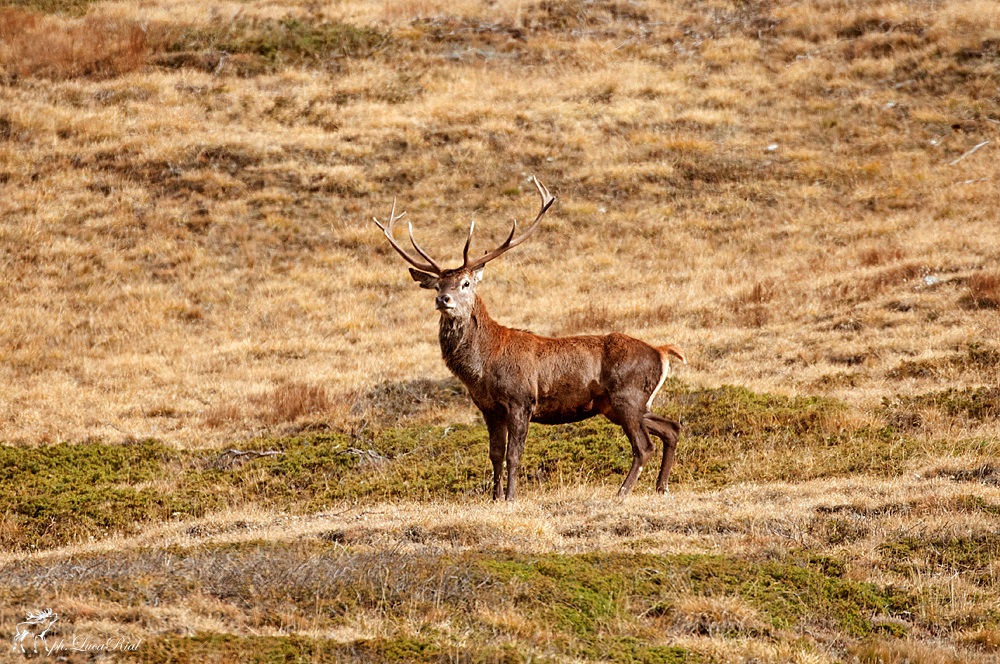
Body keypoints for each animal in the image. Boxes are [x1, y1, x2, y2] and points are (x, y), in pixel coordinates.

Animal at [373, 177, 685, 501]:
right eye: (437, 285)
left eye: (465, 283)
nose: (443, 299)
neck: (483, 367)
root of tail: (661, 352)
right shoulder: (489, 408)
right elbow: (495, 454)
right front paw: (494, 497)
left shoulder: (520, 399)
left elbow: (513, 455)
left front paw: (511, 496)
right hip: (621, 404)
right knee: (672, 427)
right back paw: (661, 486)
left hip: (627, 395)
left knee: (644, 446)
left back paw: (623, 491)